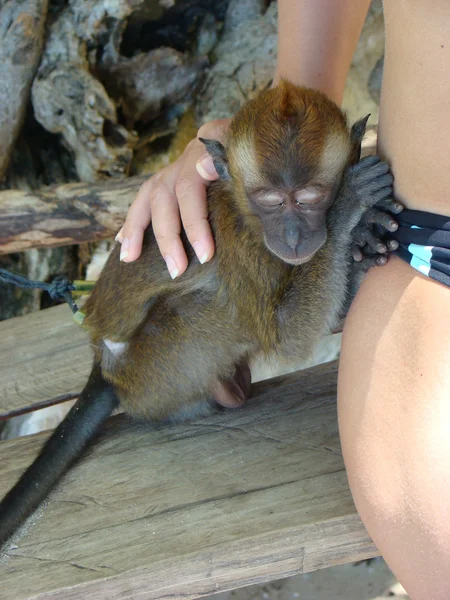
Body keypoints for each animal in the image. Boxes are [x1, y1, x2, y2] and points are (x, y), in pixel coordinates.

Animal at [0, 81, 400, 548]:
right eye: (271, 201)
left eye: (309, 198)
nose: (293, 236)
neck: (246, 216)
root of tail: (103, 367)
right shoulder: (238, 248)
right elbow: (285, 335)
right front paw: (350, 214)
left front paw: (361, 229)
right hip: (154, 368)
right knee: (196, 307)